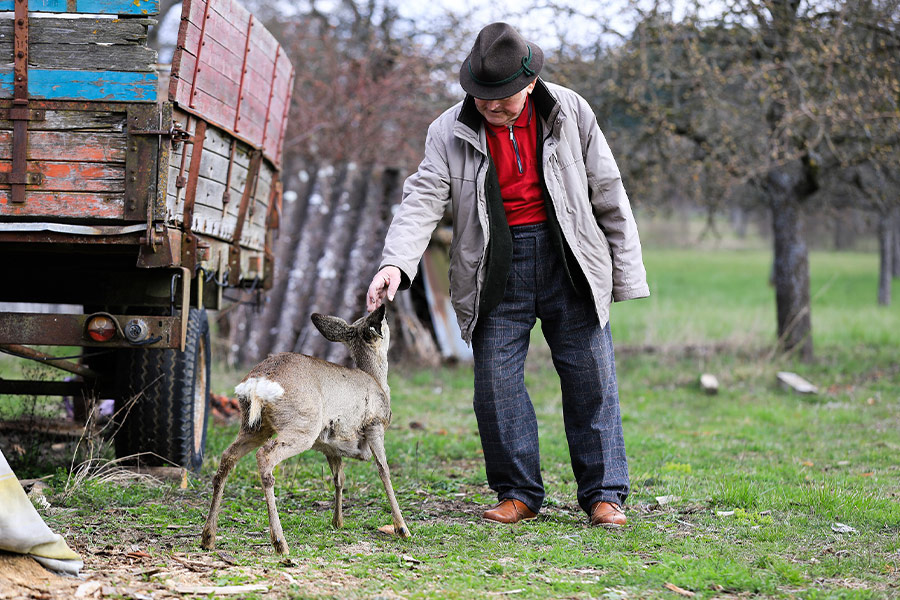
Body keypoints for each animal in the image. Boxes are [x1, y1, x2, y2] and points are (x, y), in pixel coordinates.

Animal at [200, 305, 409, 555]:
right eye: (384, 321)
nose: (386, 313)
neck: (377, 382)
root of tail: (258, 382)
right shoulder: (374, 424)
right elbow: (384, 471)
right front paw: (402, 528)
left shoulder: (331, 446)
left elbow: (339, 478)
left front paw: (338, 521)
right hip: (302, 425)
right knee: (265, 456)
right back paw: (280, 543)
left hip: (254, 426)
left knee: (227, 457)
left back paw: (208, 537)